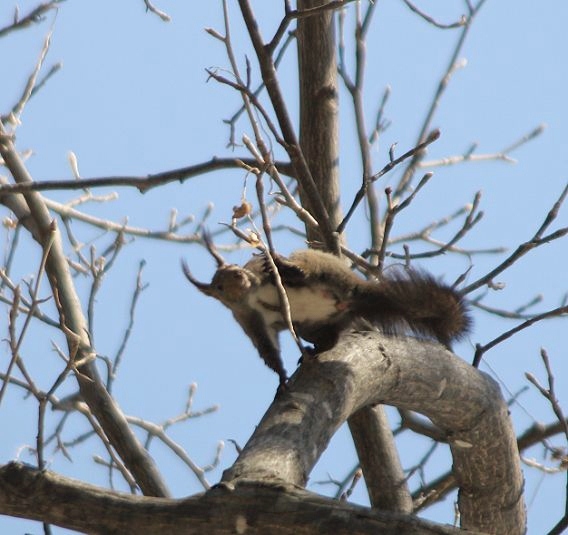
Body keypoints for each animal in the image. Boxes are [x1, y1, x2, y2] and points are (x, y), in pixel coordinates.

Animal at [182, 245, 470, 388]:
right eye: (218, 286)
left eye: (235, 268)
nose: (240, 277)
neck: (251, 293)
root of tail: (354, 296)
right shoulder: (251, 322)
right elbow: (268, 350)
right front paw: (281, 378)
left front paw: (275, 263)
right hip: (311, 326)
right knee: (330, 340)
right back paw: (313, 351)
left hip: (324, 268)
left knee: (309, 269)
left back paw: (290, 268)